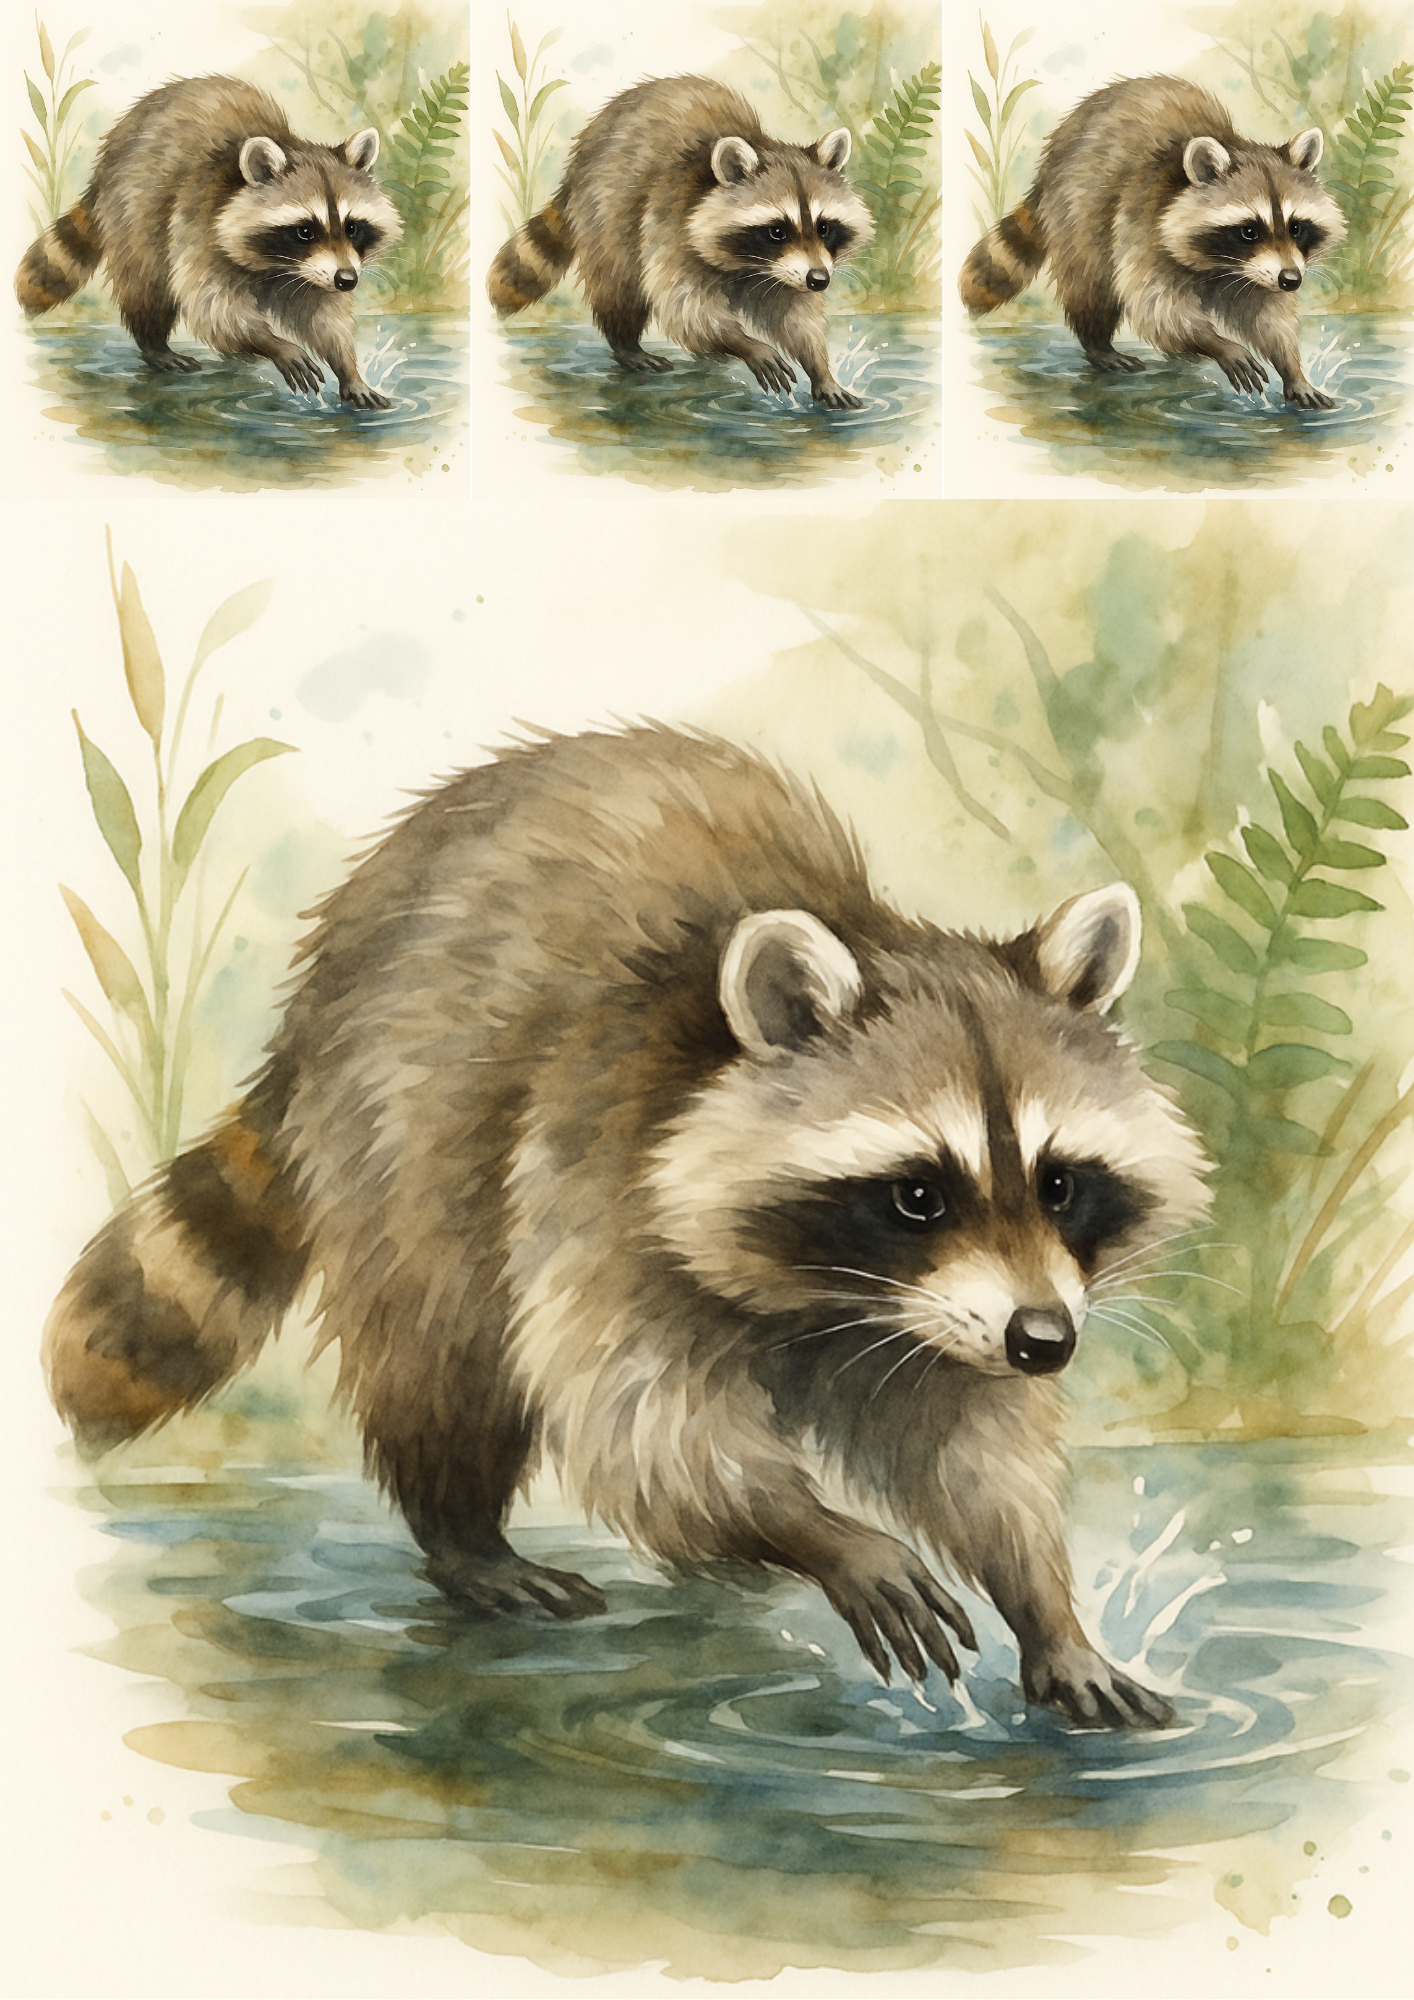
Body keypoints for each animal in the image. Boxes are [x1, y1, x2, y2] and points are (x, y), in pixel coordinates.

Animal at [15, 75, 402, 408]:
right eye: (305, 231)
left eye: (352, 228)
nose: (347, 280)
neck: (278, 264)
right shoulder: (198, 224)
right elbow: (213, 308)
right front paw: (273, 343)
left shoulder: (318, 272)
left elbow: (323, 317)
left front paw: (347, 367)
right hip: (133, 208)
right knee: (147, 280)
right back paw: (153, 343)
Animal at [45, 727, 1207, 1727]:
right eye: (918, 1193)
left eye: (1059, 1184)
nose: (1045, 1342)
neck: (837, 1294)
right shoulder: (596, 1171)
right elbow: (642, 1425)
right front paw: (821, 1532)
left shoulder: (954, 1318)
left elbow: (973, 1455)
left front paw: (1044, 1603)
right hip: (401, 1123)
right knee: (443, 1341)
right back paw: (462, 1530)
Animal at [487, 76, 874, 408]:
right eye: (777, 231)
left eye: (824, 228)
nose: (819, 280)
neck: (750, 264)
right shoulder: (670, 224)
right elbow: (685, 308)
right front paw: (745, 343)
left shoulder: (789, 272)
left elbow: (795, 318)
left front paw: (819, 367)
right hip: (605, 208)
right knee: (619, 280)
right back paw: (625, 343)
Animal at [959, 75, 1345, 408]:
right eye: (1249, 231)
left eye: (1296, 228)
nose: (1291, 280)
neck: (1222, 264)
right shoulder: (1142, 223)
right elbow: (1157, 308)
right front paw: (1217, 343)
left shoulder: (1262, 272)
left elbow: (1267, 318)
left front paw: (1291, 367)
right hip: (1077, 208)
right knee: (1091, 280)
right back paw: (1097, 343)